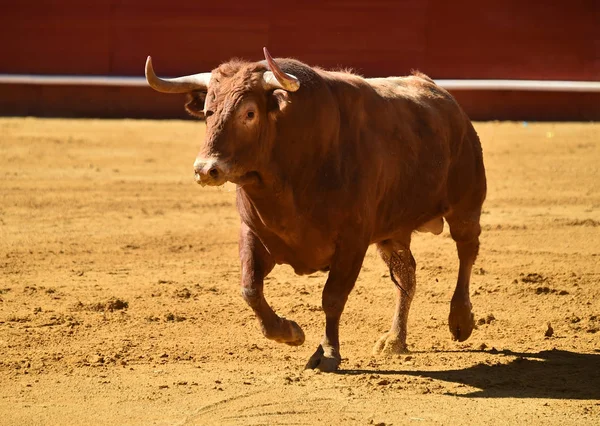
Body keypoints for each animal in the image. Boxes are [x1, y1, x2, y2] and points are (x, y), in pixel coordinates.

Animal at [145, 48, 488, 372]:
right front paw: (289, 332)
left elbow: (332, 298)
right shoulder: (254, 232)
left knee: (466, 251)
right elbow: (250, 288)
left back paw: (461, 320)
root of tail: (446, 101)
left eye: (249, 113)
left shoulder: (352, 242)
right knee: (407, 274)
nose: (205, 170)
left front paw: (328, 354)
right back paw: (394, 340)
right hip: (393, 231)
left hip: (466, 206)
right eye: (208, 112)